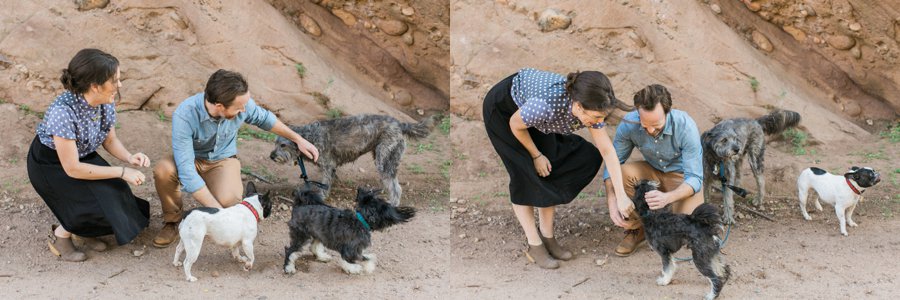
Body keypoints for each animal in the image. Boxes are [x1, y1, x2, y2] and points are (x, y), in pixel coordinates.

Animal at [268, 113, 434, 205]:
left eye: (283, 145)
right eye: (275, 143)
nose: (271, 156)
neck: (309, 137)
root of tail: (400, 124)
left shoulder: (327, 165)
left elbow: (325, 184)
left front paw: (321, 197)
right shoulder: (331, 168)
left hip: (384, 159)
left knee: (395, 186)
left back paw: (393, 203)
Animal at [284, 185, 416, 274]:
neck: (361, 220)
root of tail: (299, 205)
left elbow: (357, 257)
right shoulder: (351, 249)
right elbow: (364, 258)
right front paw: (360, 267)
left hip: (318, 233)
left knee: (314, 246)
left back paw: (322, 257)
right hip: (301, 235)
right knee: (290, 251)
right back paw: (288, 268)